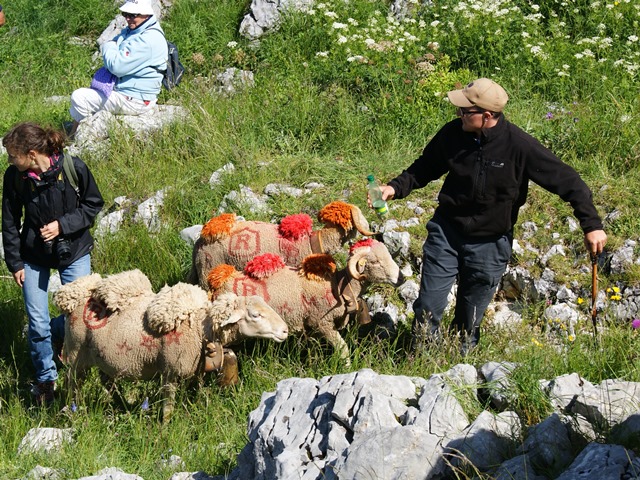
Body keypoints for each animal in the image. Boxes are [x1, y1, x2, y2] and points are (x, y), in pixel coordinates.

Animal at [53, 268, 288, 422]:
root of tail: (78, 295)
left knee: (107, 381)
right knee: (73, 383)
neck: (199, 327)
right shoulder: (170, 371)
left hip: (103, 356)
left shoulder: (196, 370)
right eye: (255, 315)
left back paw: (120, 405)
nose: (285, 330)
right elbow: (168, 407)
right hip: (75, 354)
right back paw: (75, 412)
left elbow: (196, 394)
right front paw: (165, 429)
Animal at [208, 240, 400, 364]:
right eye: (375, 262)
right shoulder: (322, 322)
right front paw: (346, 367)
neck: (338, 287)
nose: (402, 278)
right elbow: (343, 349)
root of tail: (220, 280)